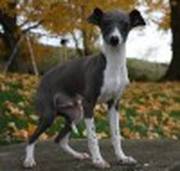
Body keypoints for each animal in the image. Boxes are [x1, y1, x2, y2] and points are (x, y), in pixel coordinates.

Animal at [23, 7, 146, 168]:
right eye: (105, 23)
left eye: (125, 24)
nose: (114, 39)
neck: (113, 65)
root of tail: (43, 78)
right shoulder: (89, 104)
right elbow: (93, 137)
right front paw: (98, 161)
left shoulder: (114, 104)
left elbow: (116, 134)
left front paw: (122, 158)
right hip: (49, 115)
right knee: (32, 137)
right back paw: (29, 160)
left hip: (76, 113)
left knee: (59, 139)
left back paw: (78, 155)